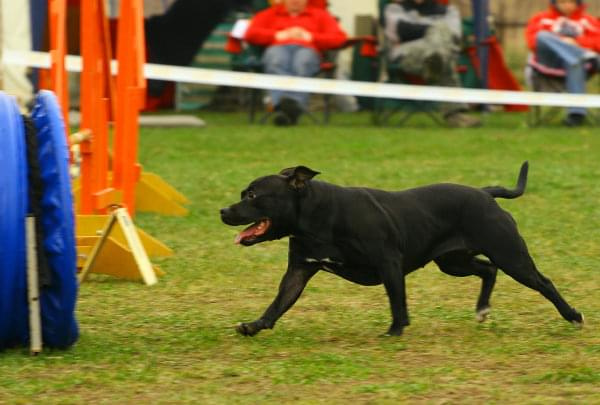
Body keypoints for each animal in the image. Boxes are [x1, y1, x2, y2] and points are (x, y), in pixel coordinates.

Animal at [219, 163, 580, 336]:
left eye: (253, 196)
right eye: (243, 193)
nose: (223, 211)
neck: (315, 215)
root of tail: (485, 193)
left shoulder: (388, 263)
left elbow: (397, 301)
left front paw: (394, 332)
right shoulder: (298, 270)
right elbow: (278, 304)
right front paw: (253, 326)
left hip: (510, 256)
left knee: (542, 282)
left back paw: (573, 316)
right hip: (452, 262)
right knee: (487, 270)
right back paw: (481, 309)